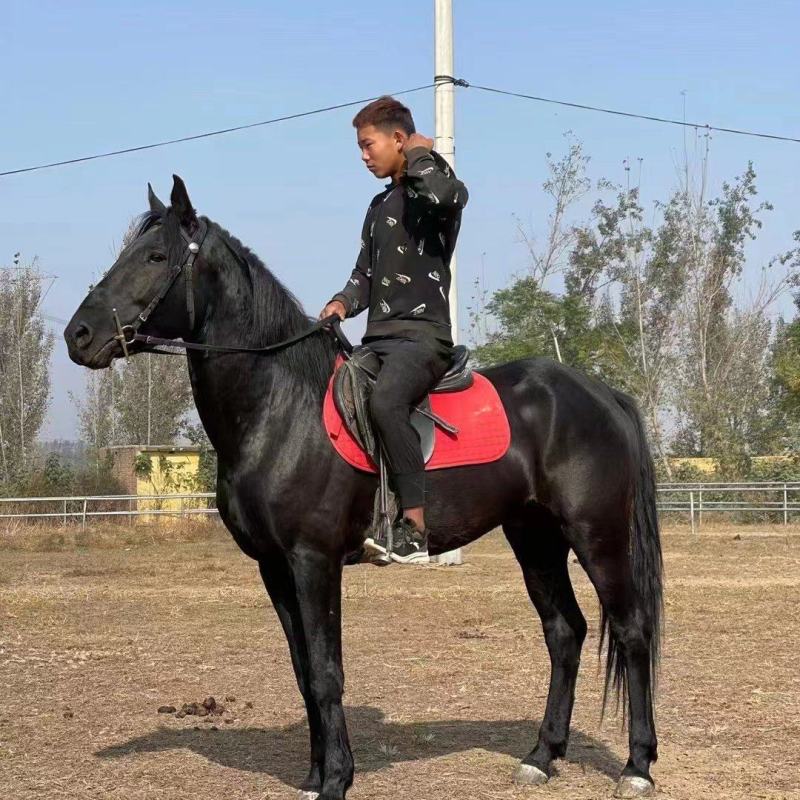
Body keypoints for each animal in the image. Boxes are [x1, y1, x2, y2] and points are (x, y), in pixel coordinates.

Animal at [64, 175, 663, 800]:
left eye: (156, 257)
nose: (77, 335)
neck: (282, 409)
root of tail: (600, 394)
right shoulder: (274, 567)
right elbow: (304, 672)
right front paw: (313, 775)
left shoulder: (314, 560)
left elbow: (328, 674)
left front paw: (336, 780)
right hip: (535, 538)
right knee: (564, 632)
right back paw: (542, 755)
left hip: (597, 535)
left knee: (632, 631)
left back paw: (637, 765)